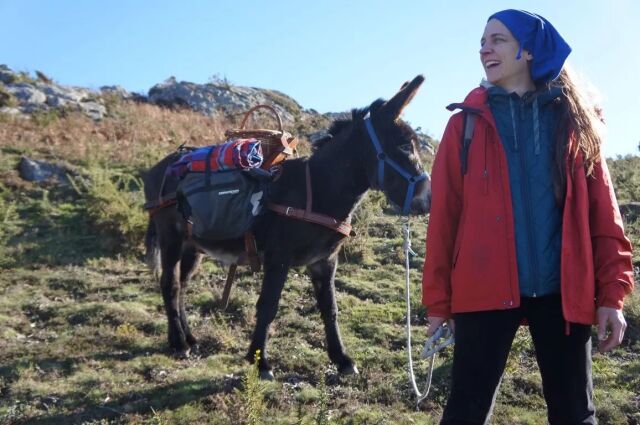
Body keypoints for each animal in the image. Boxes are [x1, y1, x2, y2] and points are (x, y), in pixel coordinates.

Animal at [143, 75, 430, 379]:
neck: (317, 189)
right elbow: (268, 305)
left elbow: (330, 308)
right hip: (171, 238)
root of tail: (160, 166)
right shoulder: (278, 259)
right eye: (404, 146)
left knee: (182, 286)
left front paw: (341, 359)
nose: (428, 200)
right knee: (170, 285)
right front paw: (260, 361)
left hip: (193, 244)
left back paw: (189, 338)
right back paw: (178, 343)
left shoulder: (325, 261)